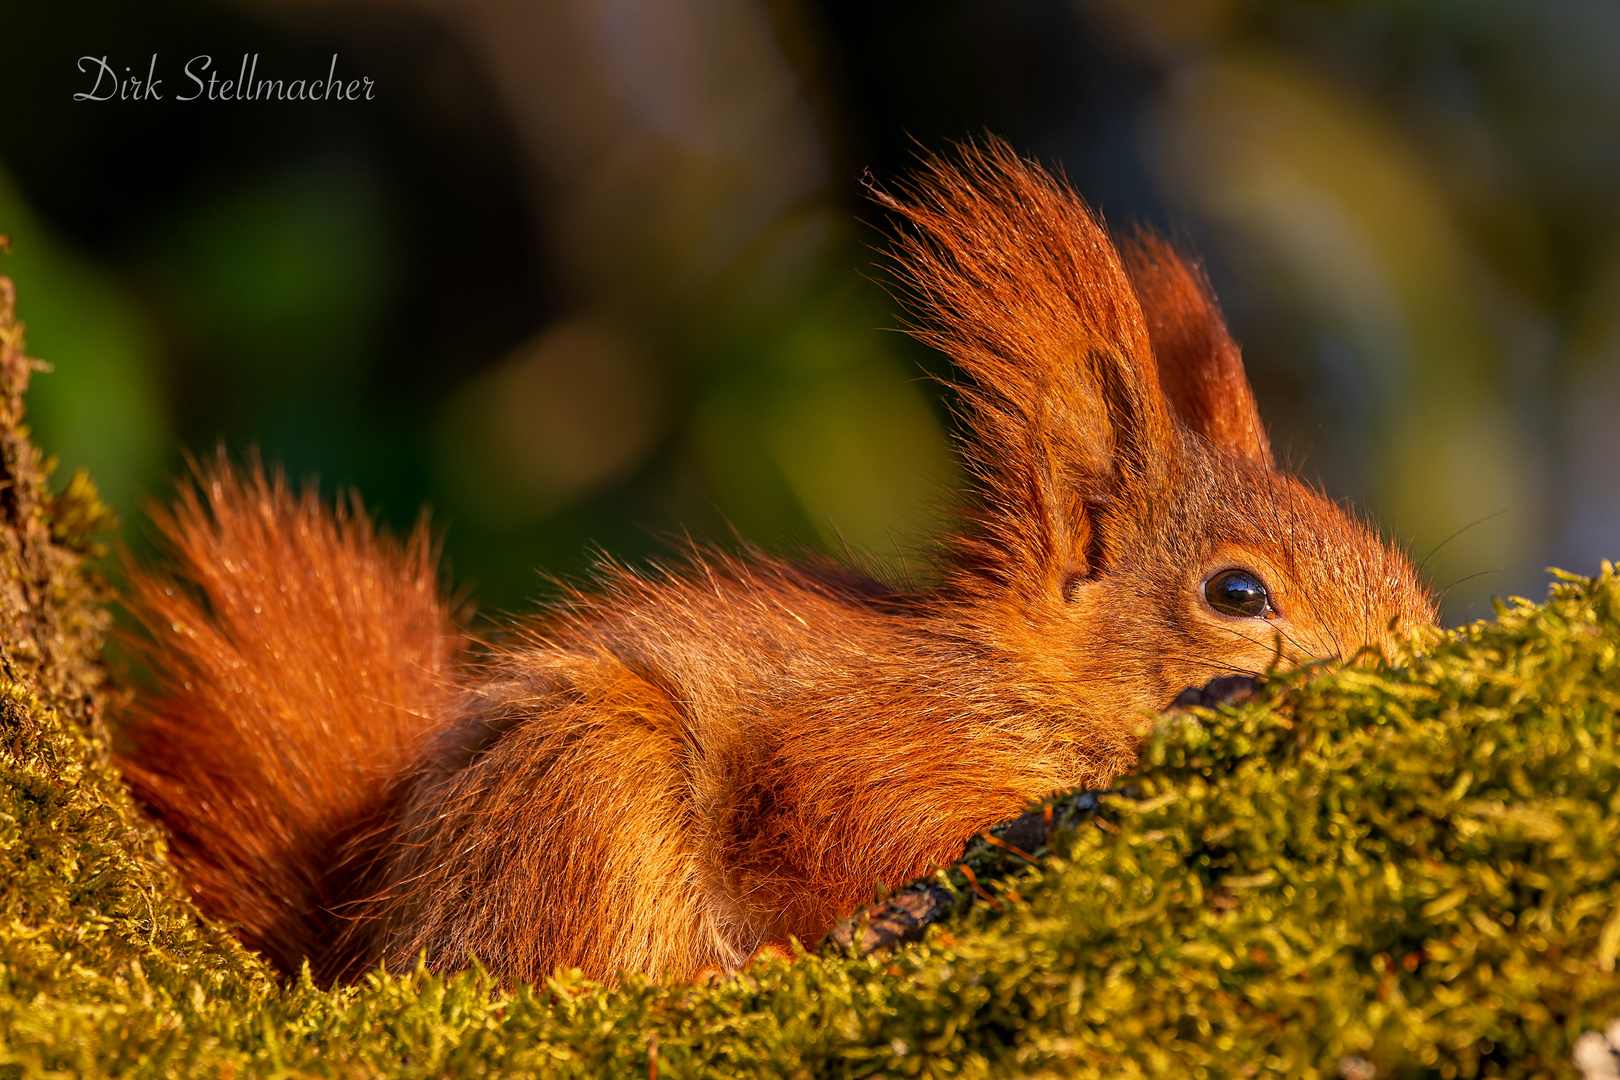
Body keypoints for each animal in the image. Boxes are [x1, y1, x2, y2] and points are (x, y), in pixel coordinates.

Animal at [119, 143, 1438, 990]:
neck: (1023, 686)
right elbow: (849, 825)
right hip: (583, 772)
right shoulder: (869, 745)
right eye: (1238, 594)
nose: (1417, 648)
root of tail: (373, 932)